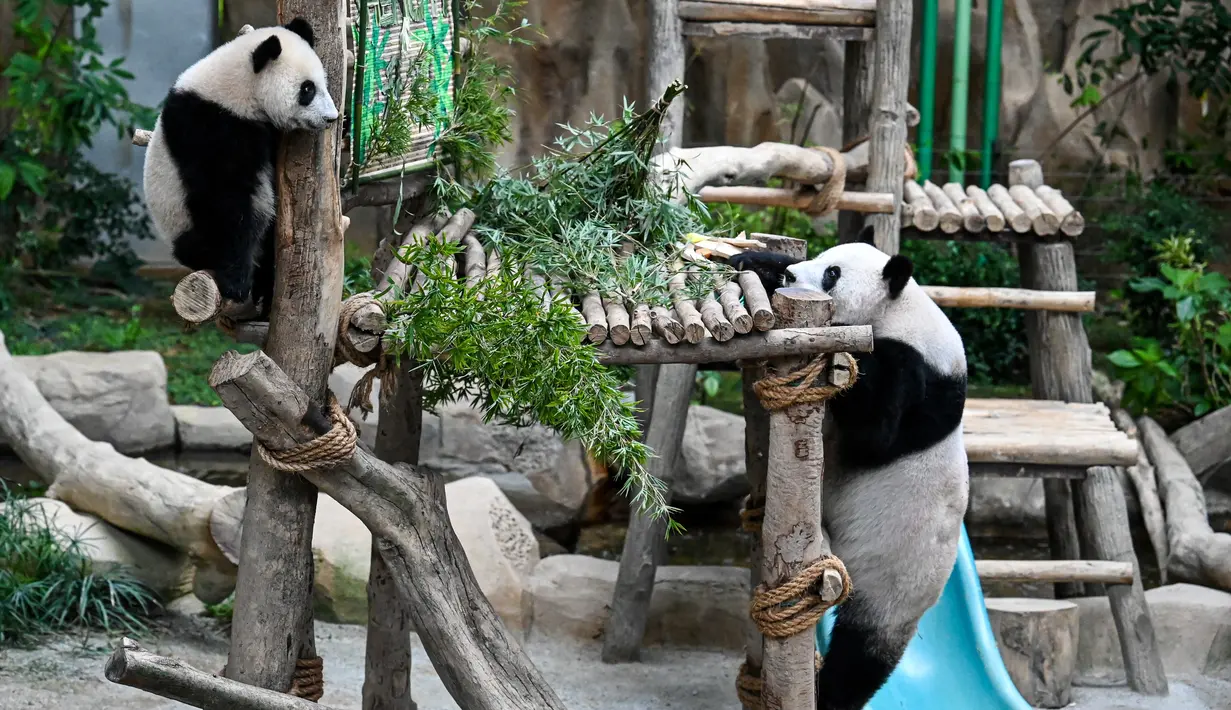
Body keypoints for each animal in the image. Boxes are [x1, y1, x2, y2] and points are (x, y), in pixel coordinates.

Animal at [142, 18, 339, 315]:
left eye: (322, 84)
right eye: (307, 89)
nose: (332, 118)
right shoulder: (209, 126)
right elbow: (225, 200)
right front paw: (236, 282)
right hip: (179, 219)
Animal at [728, 233, 969, 710]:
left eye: (832, 274)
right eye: (822, 260)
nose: (791, 278)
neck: (897, 308)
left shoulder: (917, 373)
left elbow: (875, 438)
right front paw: (753, 262)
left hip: (894, 578)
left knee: (861, 655)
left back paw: (832, 694)